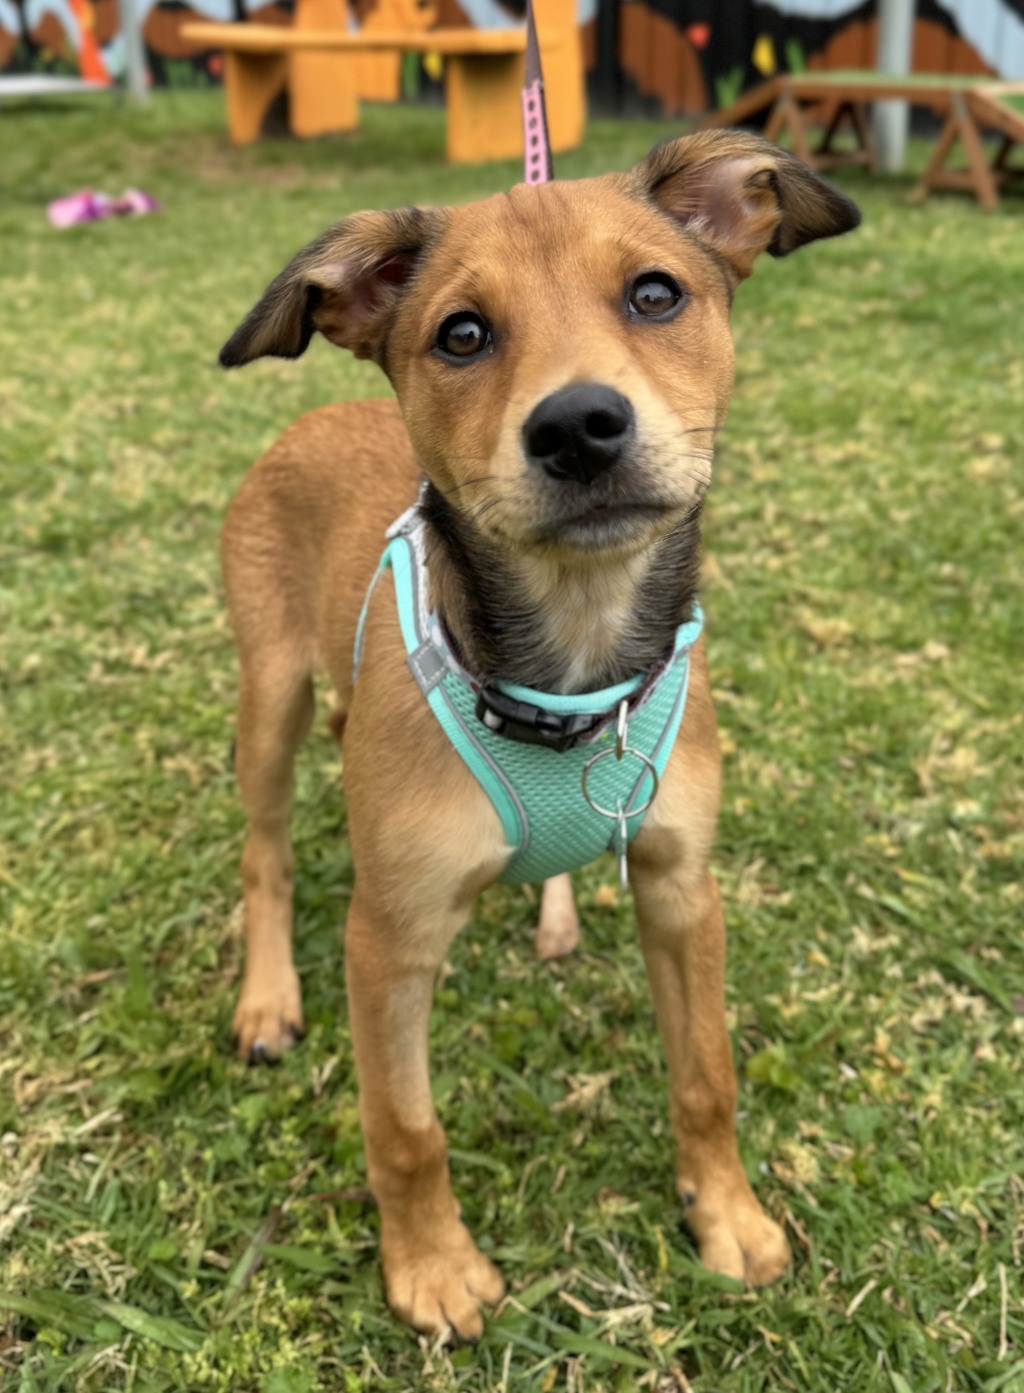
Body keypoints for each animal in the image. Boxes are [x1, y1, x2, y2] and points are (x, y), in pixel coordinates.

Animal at [217, 129, 859, 1340]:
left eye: (656, 293)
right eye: (460, 334)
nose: (577, 427)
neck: (571, 663)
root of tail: (311, 418)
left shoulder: (681, 886)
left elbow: (706, 1075)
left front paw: (727, 1216)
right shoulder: (388, 938)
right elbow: (405, 1128)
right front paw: (431, 1268)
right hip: (269, 696)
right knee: (265, 851)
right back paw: (268, 997)